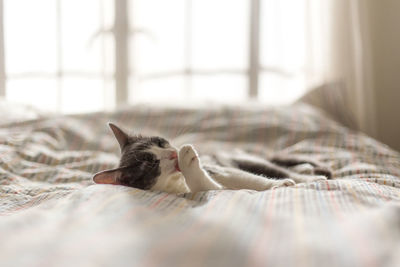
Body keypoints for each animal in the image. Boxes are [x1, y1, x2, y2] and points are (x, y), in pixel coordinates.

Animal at [93, 123, 332, 195]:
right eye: (152, 163)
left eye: (161, 142)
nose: (173, 153)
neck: (178, 182)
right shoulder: (209, 187)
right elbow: (208, 186)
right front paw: (188, 159)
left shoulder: (219, 168)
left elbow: (250, 179)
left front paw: (276, 185)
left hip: (244, 159)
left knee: (276, 167)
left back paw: (310, 173)